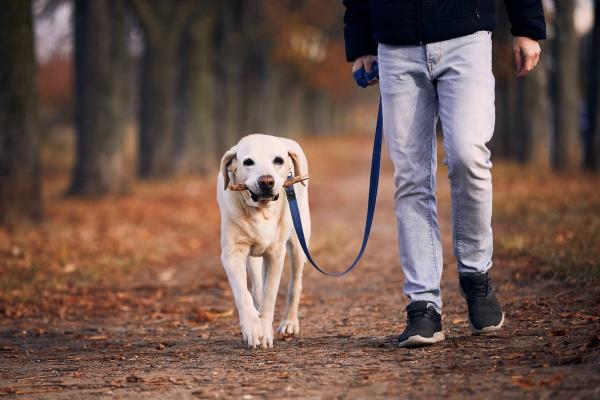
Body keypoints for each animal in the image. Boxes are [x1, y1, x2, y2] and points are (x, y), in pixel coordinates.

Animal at [217, 134, 312, 346]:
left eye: (278, 160)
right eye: (248, 162)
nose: (266, 181)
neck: (261, 211)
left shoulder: (276, 255)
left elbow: (270, 297)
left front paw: (266, 332)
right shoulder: (232, 254)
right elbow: (243, 294)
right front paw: (253, 329)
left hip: (298, 242)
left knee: (295, 283)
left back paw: (289, 323)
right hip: (252, 258)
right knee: (256, 287)